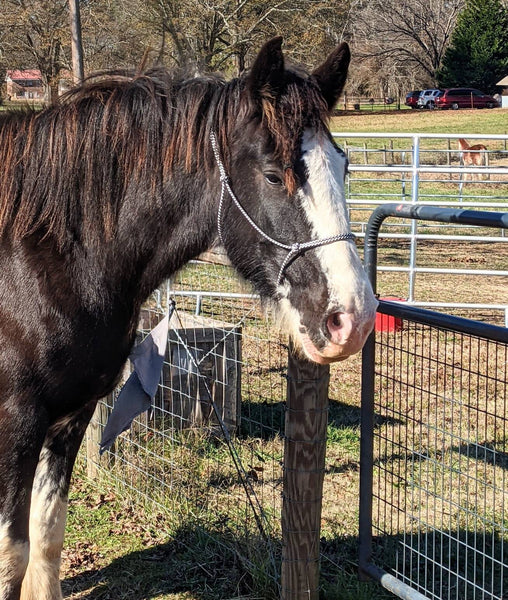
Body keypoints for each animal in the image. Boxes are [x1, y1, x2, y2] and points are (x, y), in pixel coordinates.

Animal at [0, 37, 378, 600]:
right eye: (273, 175)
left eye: (343, 166)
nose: (351, 319)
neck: (41, 256)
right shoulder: (16, 424)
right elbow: (12, 557)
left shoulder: (70, 419)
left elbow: (45, 538)